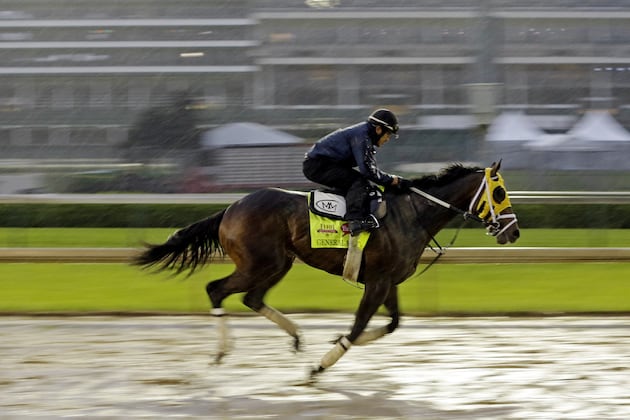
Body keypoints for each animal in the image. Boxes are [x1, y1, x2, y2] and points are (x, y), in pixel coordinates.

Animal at [133, 160, 520, 378]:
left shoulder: (389, 281)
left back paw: (295, 336)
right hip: (261, 262)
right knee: (217, 290)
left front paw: (336, 341)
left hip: (278, 264)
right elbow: (360, 324)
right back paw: (221, 352)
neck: (412, 215)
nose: (513, 231)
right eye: (500, 193)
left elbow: (392, 324)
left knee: (252, 299)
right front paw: (322, 364)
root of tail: (230, 209)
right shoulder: (377, 281)